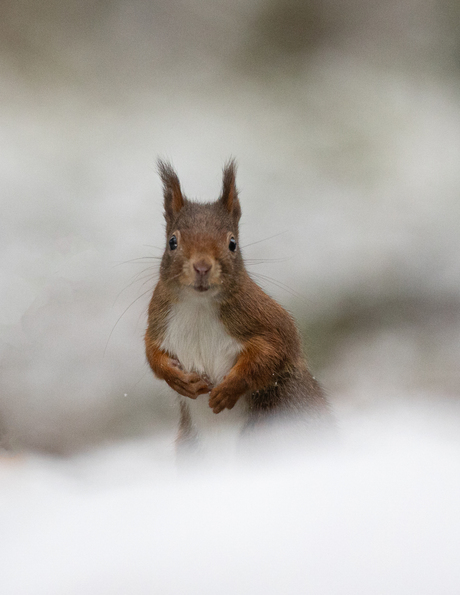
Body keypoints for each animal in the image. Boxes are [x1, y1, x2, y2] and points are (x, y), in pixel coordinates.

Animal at [145, 158, 330, 452]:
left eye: (232, 243)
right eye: (172, 242)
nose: (202, 266)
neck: (199, 305)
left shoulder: (264, 319)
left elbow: (273, 351)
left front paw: (228, 389)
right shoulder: (159, 318)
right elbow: (152, 354)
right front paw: (180, 380)